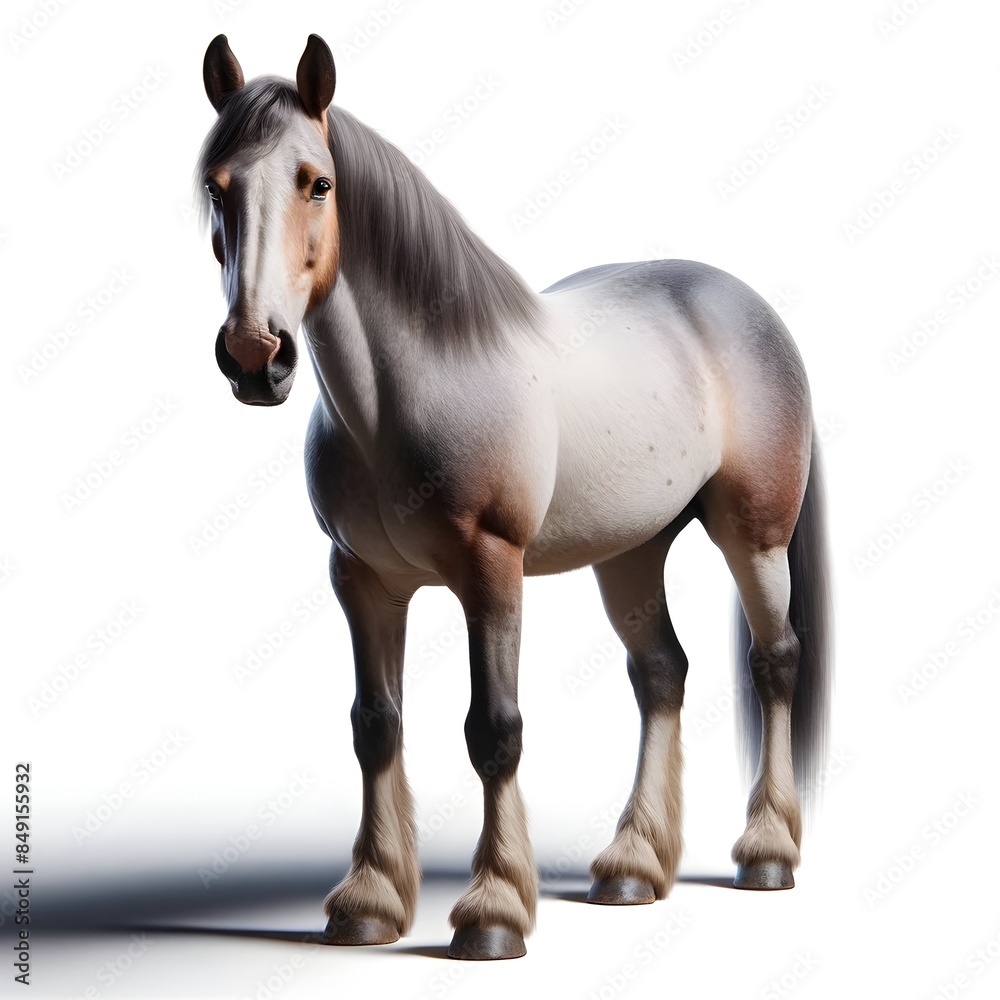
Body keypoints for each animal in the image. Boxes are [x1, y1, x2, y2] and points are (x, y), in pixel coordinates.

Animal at [196, 33, 831, 961]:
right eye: (217, 186)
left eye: (317, 181)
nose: (256, 355)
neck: (403, 400)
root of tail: (745, 306)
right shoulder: (361, 580)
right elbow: (374, 724)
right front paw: (369, 902)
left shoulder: (489, 570)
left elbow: (494, 731)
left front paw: (492, 913)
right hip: (631, 553)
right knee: (661, 674)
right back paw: (632, 866)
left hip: (754, 537)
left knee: (774, 660)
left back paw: (767, 852)